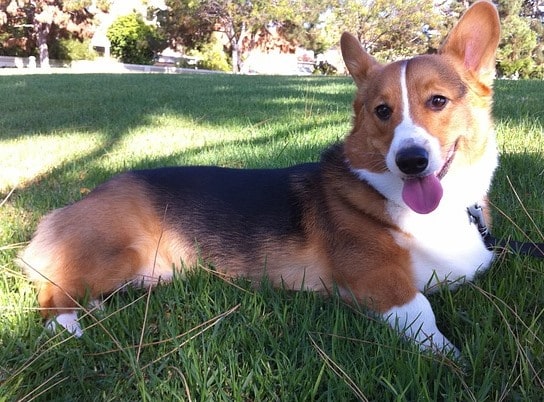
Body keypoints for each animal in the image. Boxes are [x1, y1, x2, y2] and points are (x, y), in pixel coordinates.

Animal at [18, 2, 502, 354]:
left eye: (437, 101)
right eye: (382, 111)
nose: (410, 161)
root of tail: (65, 210)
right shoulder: (376, 281)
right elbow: (421, 309)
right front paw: (451, 359)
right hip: (117, 255)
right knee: (52, 294)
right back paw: (71, 330)